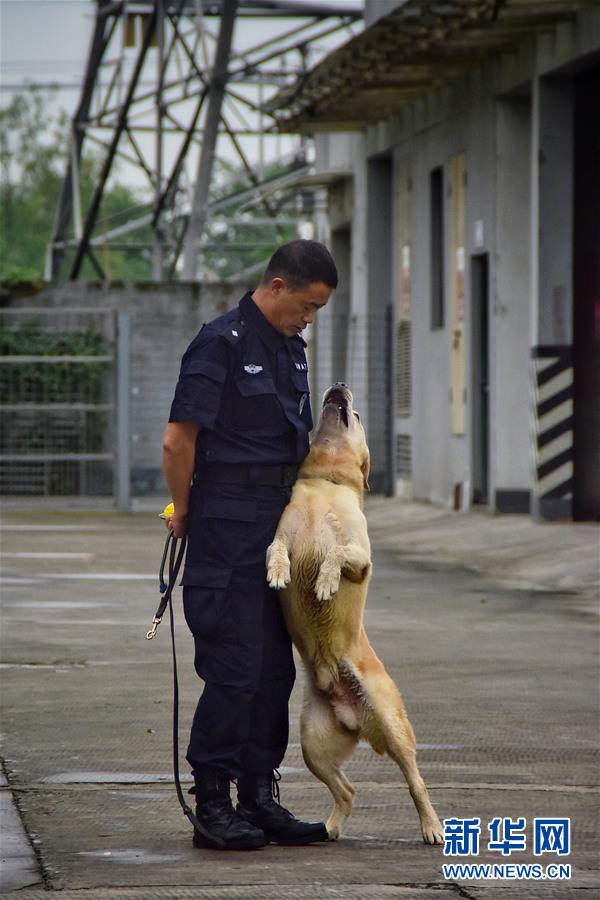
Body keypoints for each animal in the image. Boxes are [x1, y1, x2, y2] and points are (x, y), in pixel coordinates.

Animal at [266, 383, 443, 844]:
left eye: (357, 415)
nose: (340, 386)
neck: (325, 483)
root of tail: (353, 714)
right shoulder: (281, 535)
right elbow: (276, 549)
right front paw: (278, 572)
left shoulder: (360, 557)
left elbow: (337, 554)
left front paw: (325, 583)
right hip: (312, 745)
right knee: (347, 789)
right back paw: (326, 828)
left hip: (393, 725)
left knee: (415, 780)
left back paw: (432, 827)